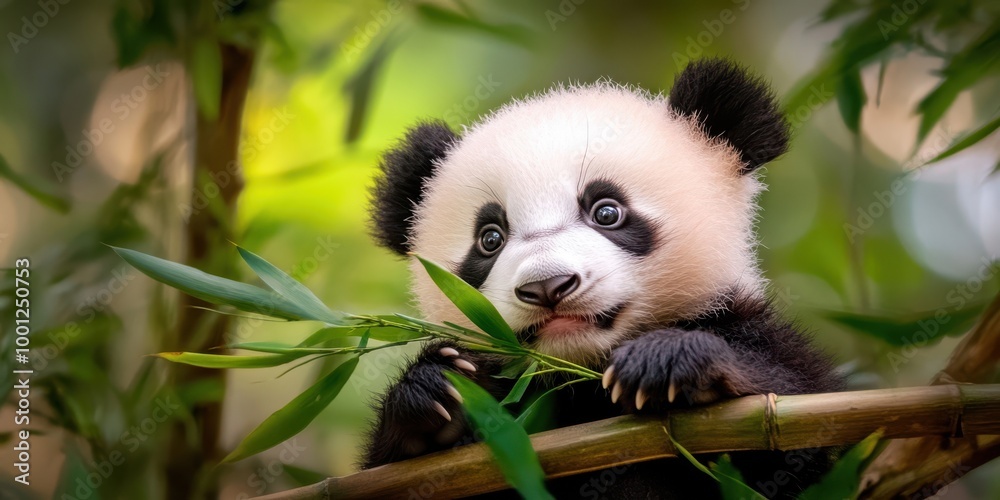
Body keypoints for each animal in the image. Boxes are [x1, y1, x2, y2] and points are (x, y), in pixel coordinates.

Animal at [362, 58, 843, 499]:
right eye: (490, 239)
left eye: (607, 212)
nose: (547, 286)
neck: (582, 377)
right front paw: (441, 391)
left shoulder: (758, 341)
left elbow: (792, 428)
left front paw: (666, 362)